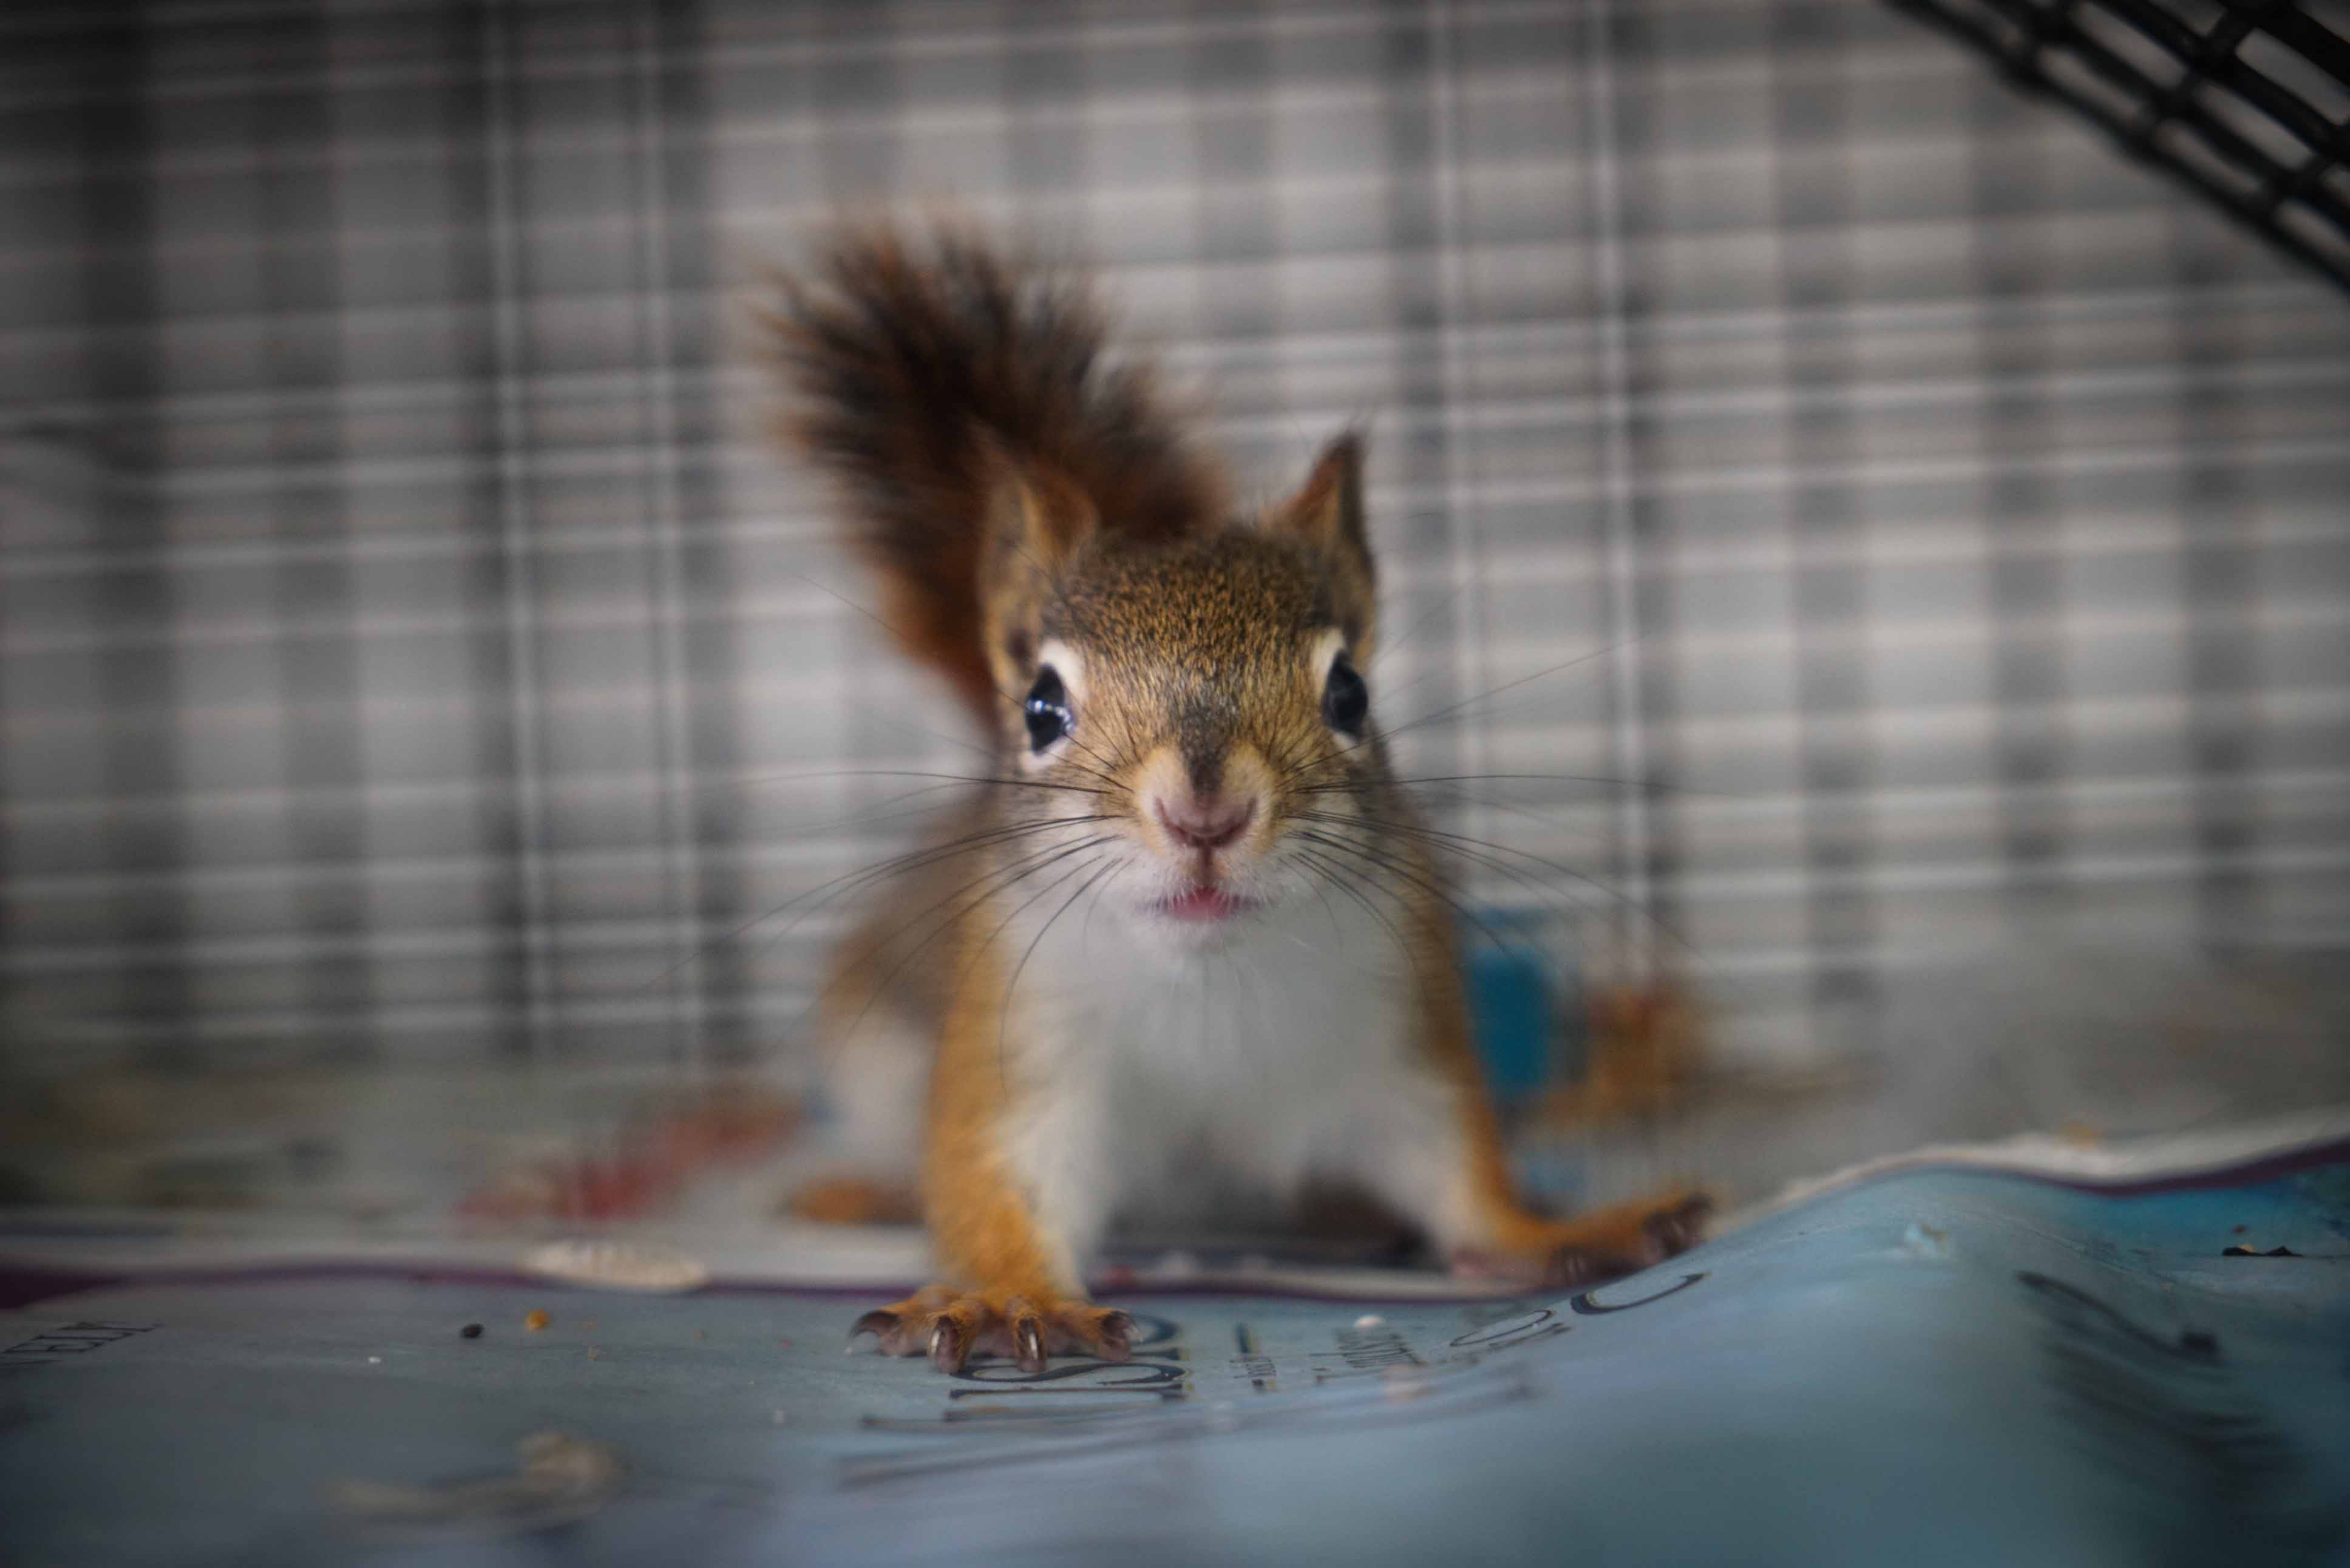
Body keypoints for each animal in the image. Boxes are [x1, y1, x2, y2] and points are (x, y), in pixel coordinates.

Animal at [761, 223, 1701, 1373]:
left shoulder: (1399, 1036)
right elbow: (993, 1176)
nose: (1201, 815)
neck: (1208, 978)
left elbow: (1460, 1172)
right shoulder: (1017, 1037)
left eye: (1350, 693)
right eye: (1039, 707)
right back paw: (861, 1190)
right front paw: (1006, 1292)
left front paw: (1560, 1229)